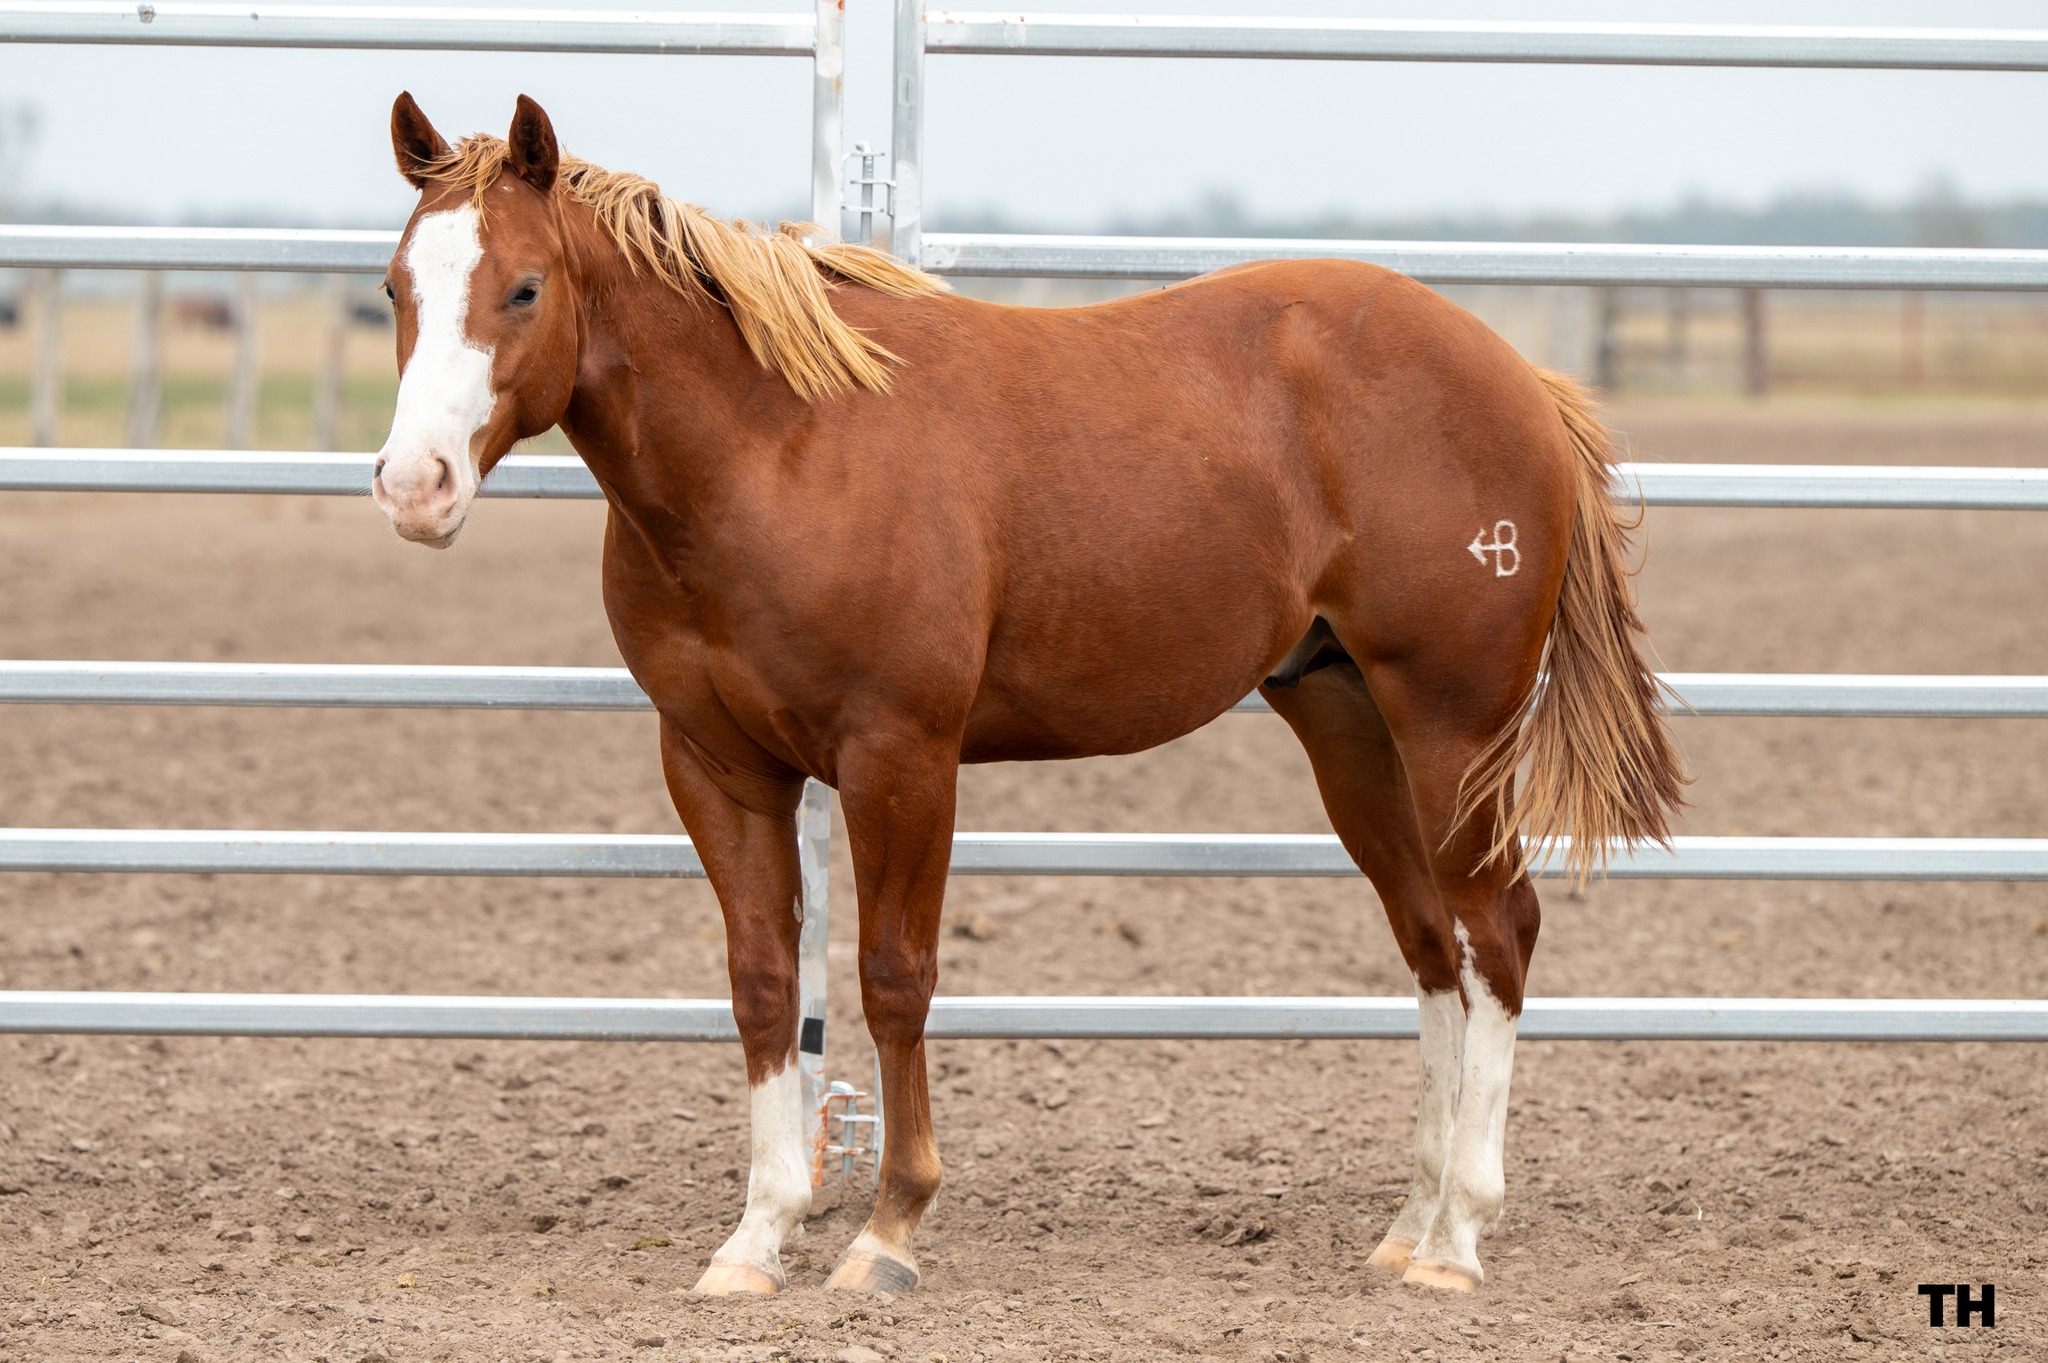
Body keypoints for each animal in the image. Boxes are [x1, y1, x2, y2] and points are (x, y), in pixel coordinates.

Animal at [369, 92, 1685, 1297]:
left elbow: (892, 978)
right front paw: (756, 1237)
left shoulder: (899, 756)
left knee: (1494, 934)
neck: (778, 447)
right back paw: (1409, 1223)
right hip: (1350, 725)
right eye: (394, 290)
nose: (412, 486)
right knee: (1428, 944)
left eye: (524, 288)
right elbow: (762, 984)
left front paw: (886, 1231)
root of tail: (1515, 375)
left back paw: (1457, 1238)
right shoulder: (714, 764)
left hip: (1450, 726)